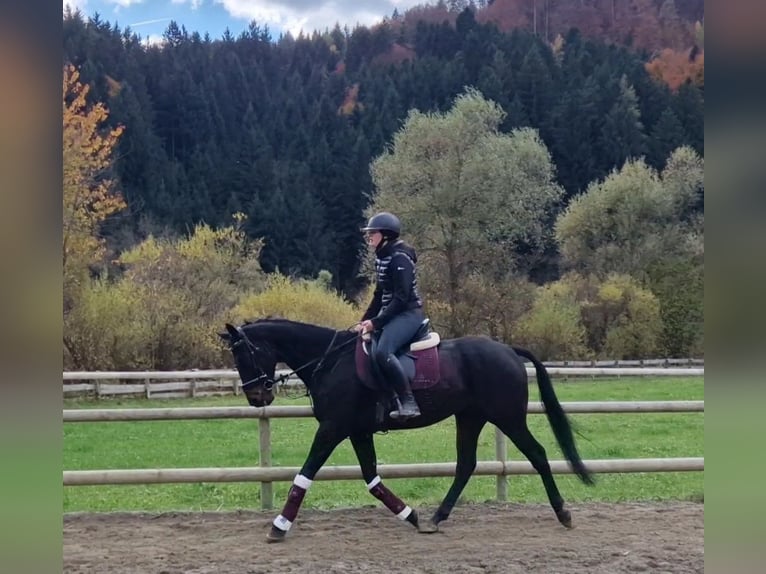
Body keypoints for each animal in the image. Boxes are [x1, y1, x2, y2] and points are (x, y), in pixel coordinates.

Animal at [219, 317, 594, 543]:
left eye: (244, 354)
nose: (257, 397)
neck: (330, 362)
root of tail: (507, 350)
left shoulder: (332, 428)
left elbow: (305, 475)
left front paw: (278, 526)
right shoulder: (357, 431)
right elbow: (372, 480)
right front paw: (410, 515)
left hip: (508, 418)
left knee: (538, 455)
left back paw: (563, 514)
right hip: (470, 417)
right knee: (466, 464)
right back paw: (436, 517)